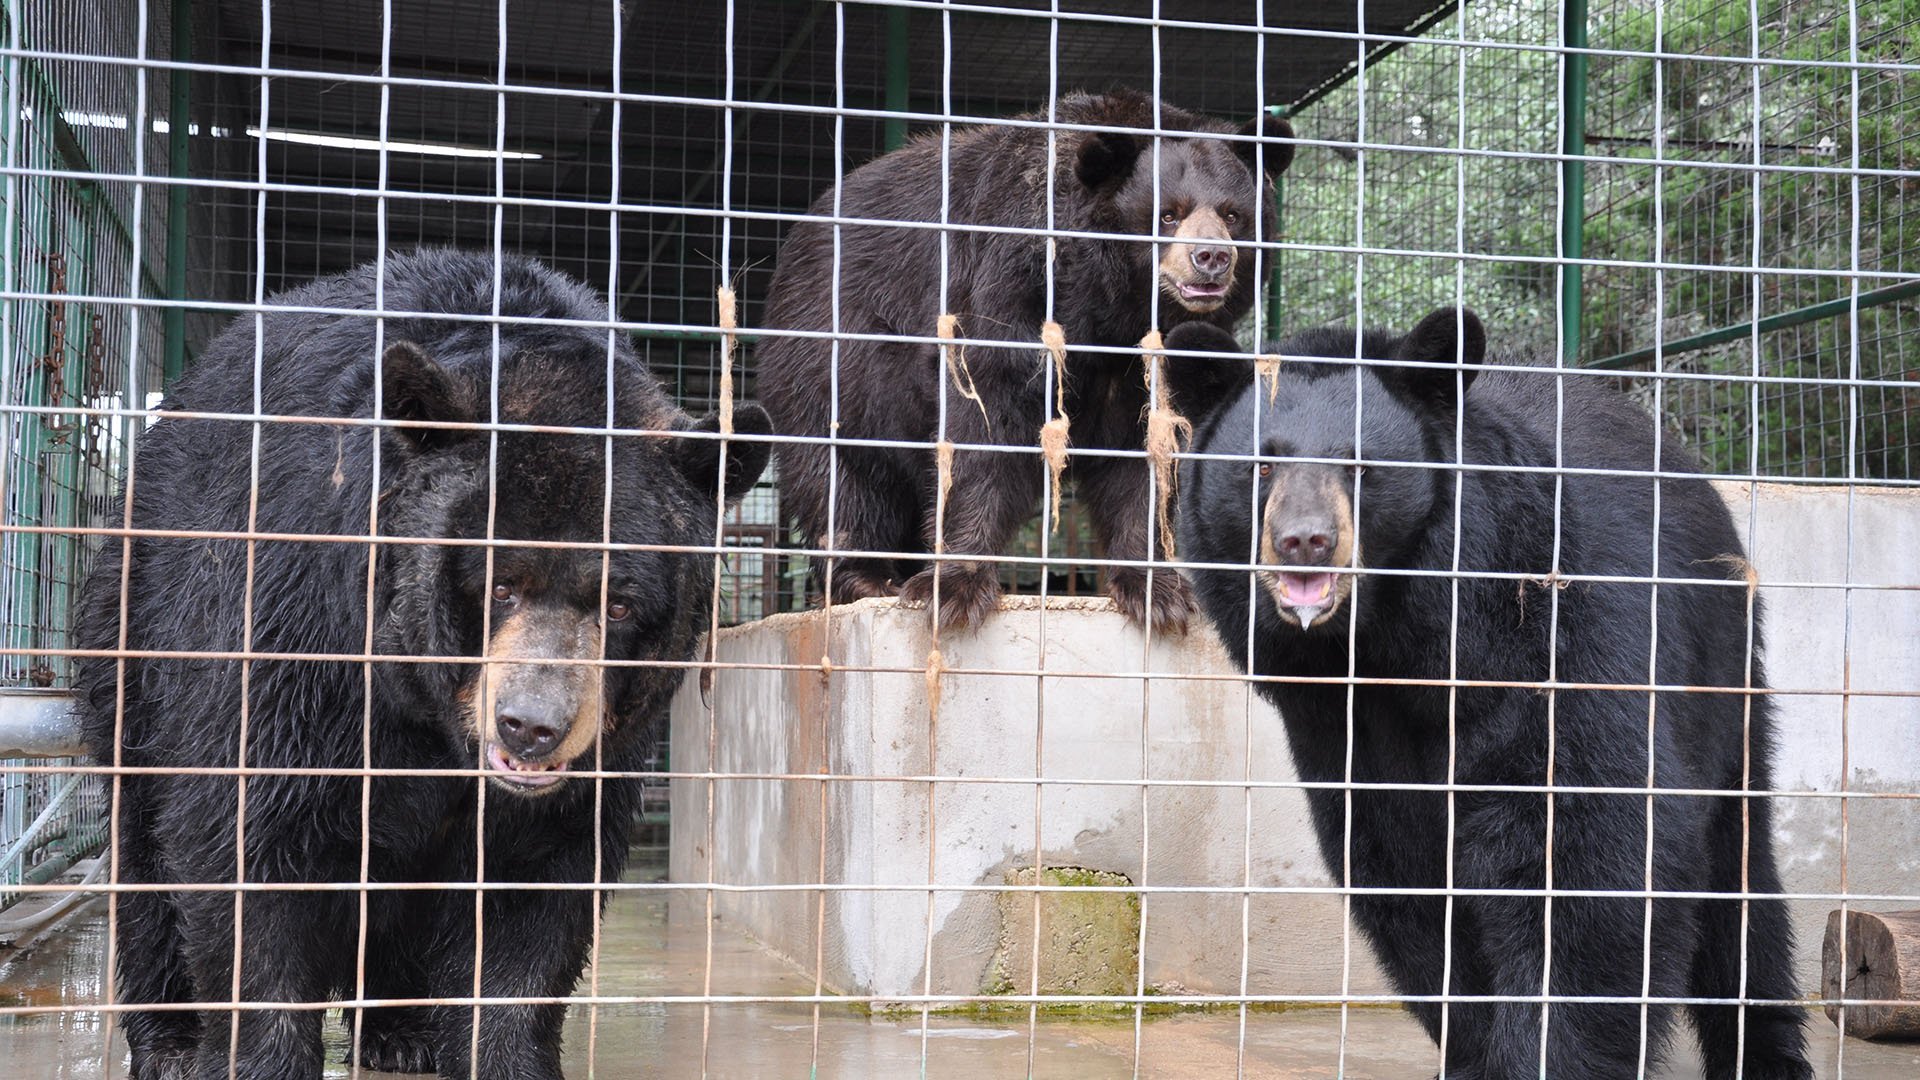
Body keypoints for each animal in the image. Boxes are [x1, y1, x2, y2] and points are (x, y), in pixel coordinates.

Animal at [74, 250, 770, 1080]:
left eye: (622, 603)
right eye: (498, 583)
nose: (532, 726)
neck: (433, 712)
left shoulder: (596, 750)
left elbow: (534, 888)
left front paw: (508, 1054)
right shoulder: (301, 625)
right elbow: (248, 842)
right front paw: (258, 1054)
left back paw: (400, 1032)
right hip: (133, 625)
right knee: (143, 834)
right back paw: (171, 1042)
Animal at [757, 88, 1293, 633]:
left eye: (1233, 215)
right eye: (1168, 214)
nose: (1212, 258)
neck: (1110, 310)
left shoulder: (1150, 370)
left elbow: (1147, 460)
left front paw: (1156, 590)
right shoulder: (1007, 288)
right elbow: (983, 429)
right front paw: (954, 586)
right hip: (827, 355)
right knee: (841, 474)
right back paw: (866, 578)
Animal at [1165, 312, 1811, 1079]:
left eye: (1360, 463)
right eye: (1262, 464)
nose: (1305, 541)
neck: (1397, 642)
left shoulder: (1558, 636)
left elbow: (1589, 846)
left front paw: (1546, 1056)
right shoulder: (1341, 721)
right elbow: (1407, 872)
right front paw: (1474, 1052)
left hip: (1722, 668)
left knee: (1741, 874)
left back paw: (1767, 1051)